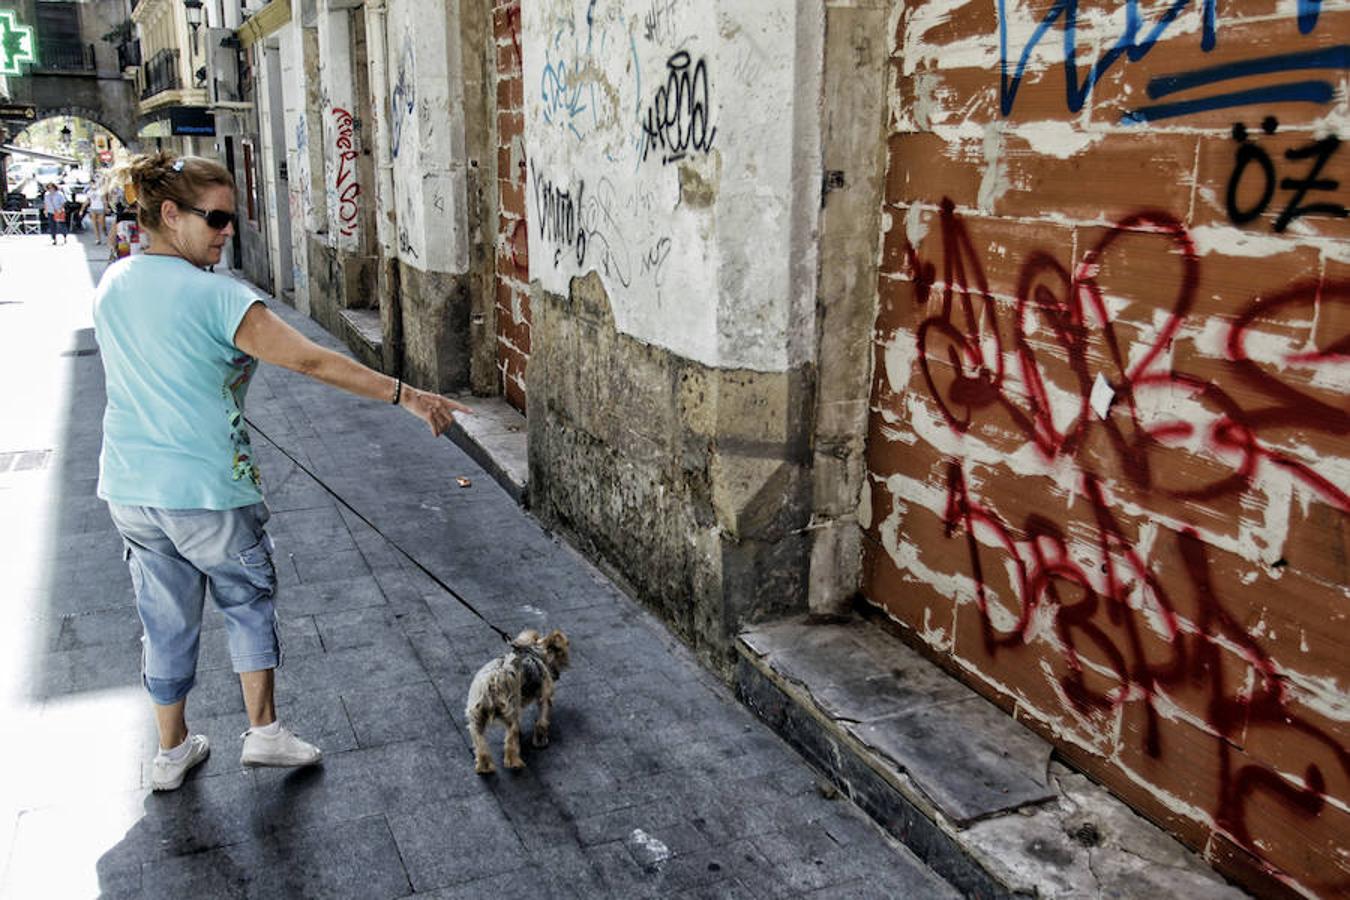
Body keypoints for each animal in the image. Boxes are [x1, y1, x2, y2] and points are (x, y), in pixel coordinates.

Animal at [464, 626, 569, 777]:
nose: (557, 674)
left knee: (479, 740)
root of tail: (492, 680)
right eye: (561, 655)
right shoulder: (544, 696)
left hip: (476, 715)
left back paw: (484, 767)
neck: (535, 652)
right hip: (509, 710)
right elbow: (542, 720)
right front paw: (540, 740)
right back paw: (514, 762)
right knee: (510, 738)